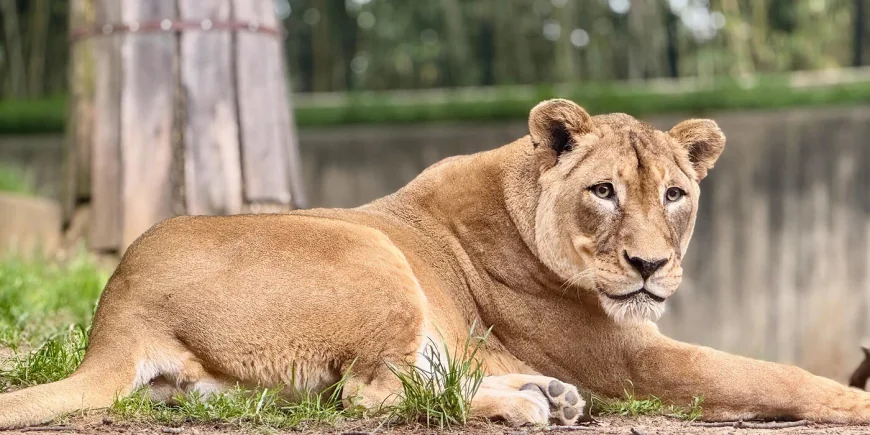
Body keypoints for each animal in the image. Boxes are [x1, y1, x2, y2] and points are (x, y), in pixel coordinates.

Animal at [2, 99, 869, 429]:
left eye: (677, 194)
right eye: (604, 191)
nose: (650, 265)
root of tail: (117, 310)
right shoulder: (631, 359)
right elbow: (771, 375)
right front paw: (855, 400)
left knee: (401, 383)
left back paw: (545, 396)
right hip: (371, 251)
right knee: (369, 393)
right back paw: (534, 405)